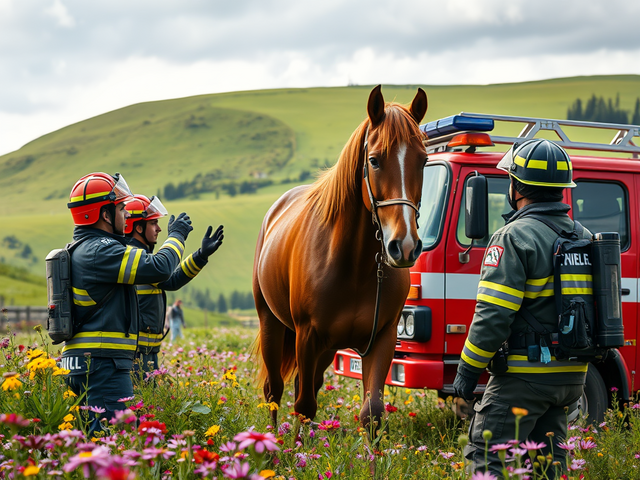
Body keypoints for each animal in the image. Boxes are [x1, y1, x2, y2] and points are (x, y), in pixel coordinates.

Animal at [252, 85, 428, 434]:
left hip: (326, 346)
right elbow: (304, 405)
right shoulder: (307, 336)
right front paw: (297, 451)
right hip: (271, 324)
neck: (356, 266)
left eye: (424, 161)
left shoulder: (382, 337)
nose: (404, 246)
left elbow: (372, 412)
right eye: (374, 160)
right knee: (275, 390)